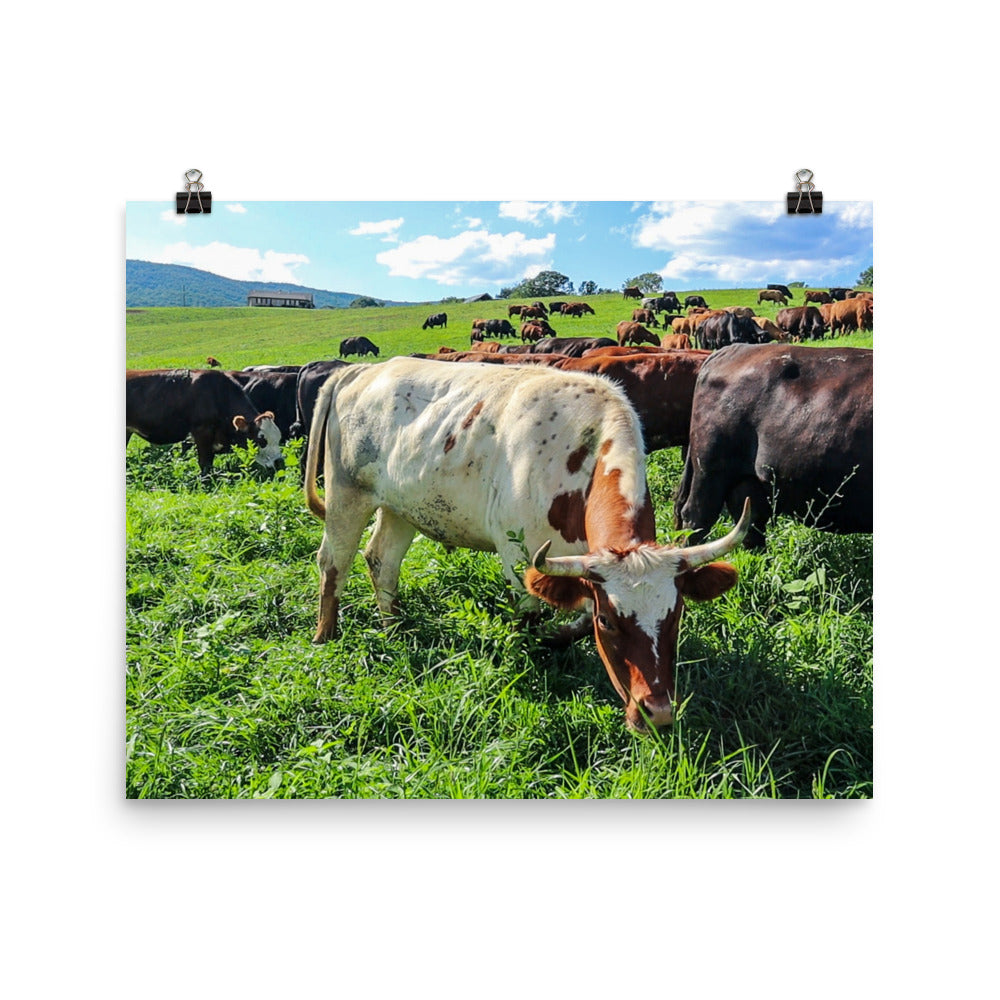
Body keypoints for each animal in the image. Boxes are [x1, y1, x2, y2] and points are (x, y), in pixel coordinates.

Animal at [304, 357, 750, 731]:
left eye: (676, 615)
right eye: (610, 622)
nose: (656, 714)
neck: (580, 455)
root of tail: (362, 370)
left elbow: (575, 620)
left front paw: (558, 638)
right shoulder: (519, 557)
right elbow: (531, 619)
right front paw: (531, 658)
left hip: (400, 508)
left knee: (382, 561)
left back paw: (394, 627)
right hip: (346, 495)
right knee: (333, 563)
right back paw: (325, 637)